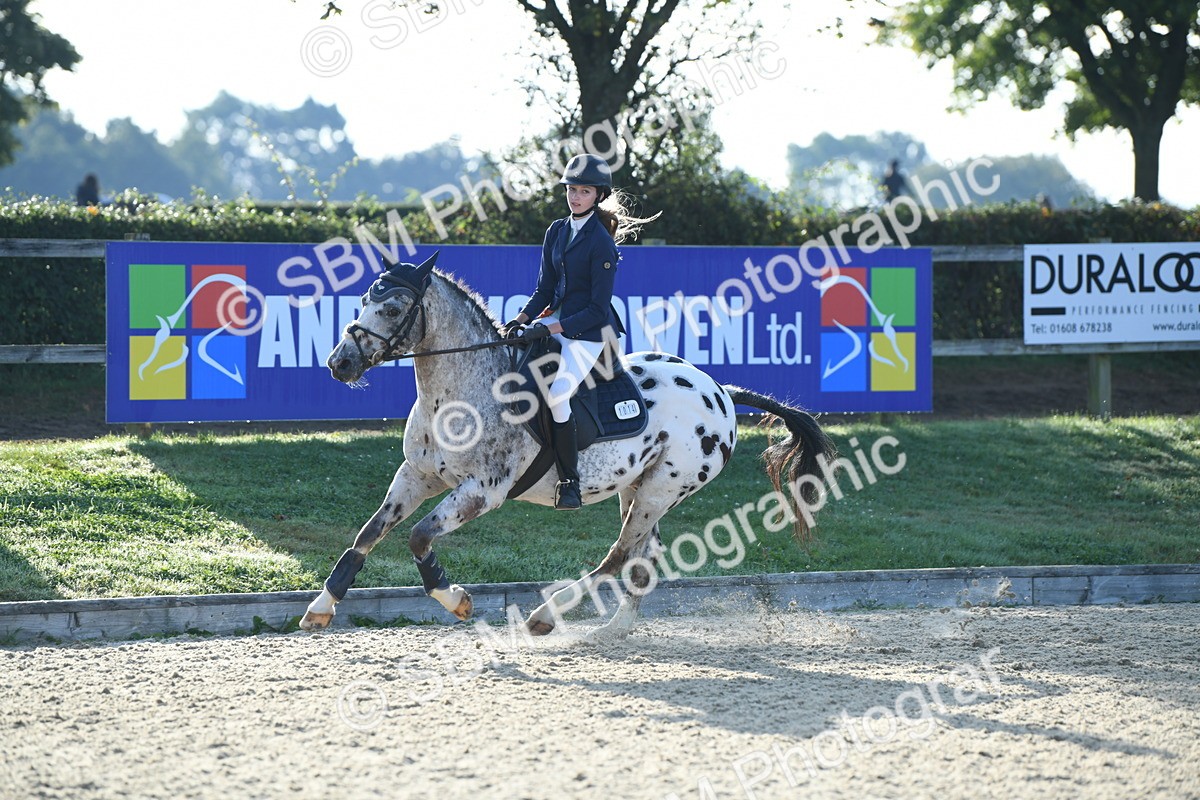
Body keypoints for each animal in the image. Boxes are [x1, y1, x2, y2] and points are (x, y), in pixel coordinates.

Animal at [299, 252, 836, 639]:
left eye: (391, 308)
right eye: (361, 302)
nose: (340, 363)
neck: (460, 392)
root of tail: (721, 390)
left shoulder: (482, 491)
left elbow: (417, 537)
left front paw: (457, 600)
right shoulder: (417, 475)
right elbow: (368, 534)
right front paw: (321, 607)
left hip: (664, 487)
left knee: (618, 556)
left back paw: (546, 617)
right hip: (639, 486)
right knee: (644, 554)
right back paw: (612, 632)